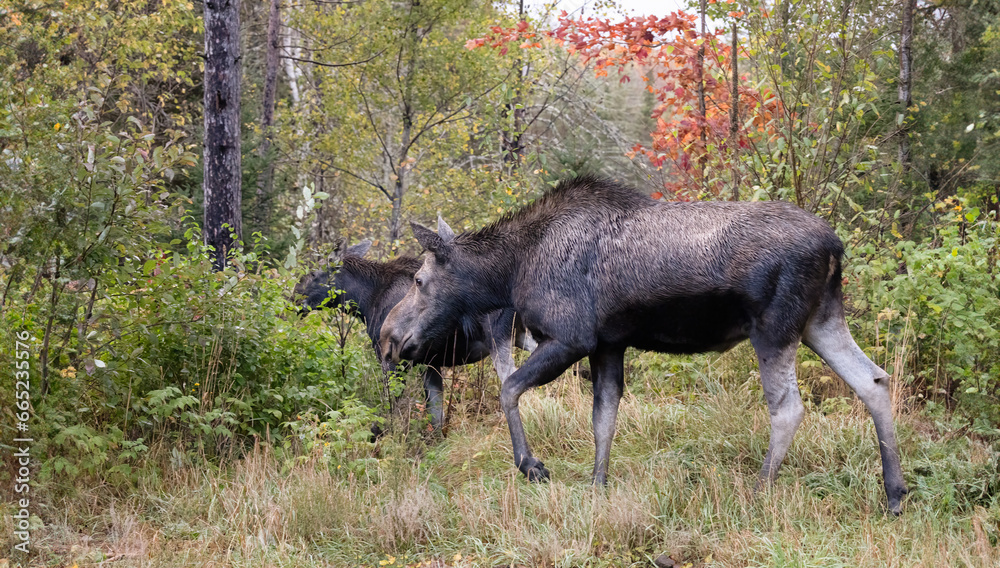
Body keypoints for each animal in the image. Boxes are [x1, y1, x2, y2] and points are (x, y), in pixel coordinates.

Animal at [379, 175, 907, 515]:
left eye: (420, 280)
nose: (388, 339)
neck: (510, 272)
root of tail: (836, 245)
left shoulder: (570, 337)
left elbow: (508, 389)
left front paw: (532, 465)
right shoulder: (607, 344)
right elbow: (603, 418)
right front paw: (597, 486)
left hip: (775, 328)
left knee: (789, 407)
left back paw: (759, 492)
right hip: (820, 320)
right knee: (874, 380)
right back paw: (895, 495)